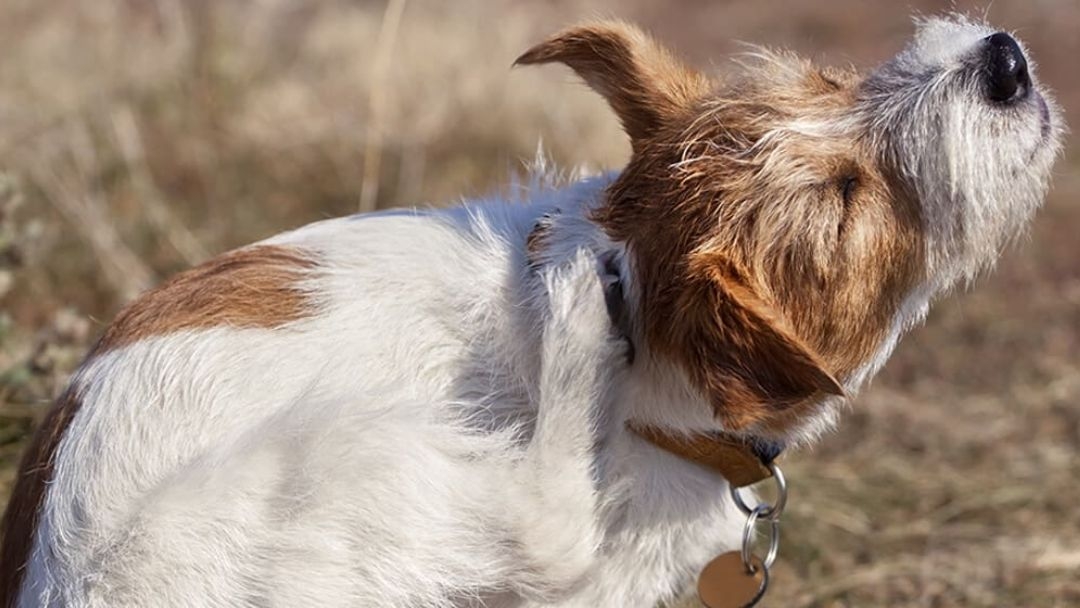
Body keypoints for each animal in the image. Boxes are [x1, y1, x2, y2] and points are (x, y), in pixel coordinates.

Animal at [0, 14, 1062, 608]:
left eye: (830, 81)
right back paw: (574, 321)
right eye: (845, 196)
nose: (1004, 59)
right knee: (546, 526)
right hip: (353, 457)